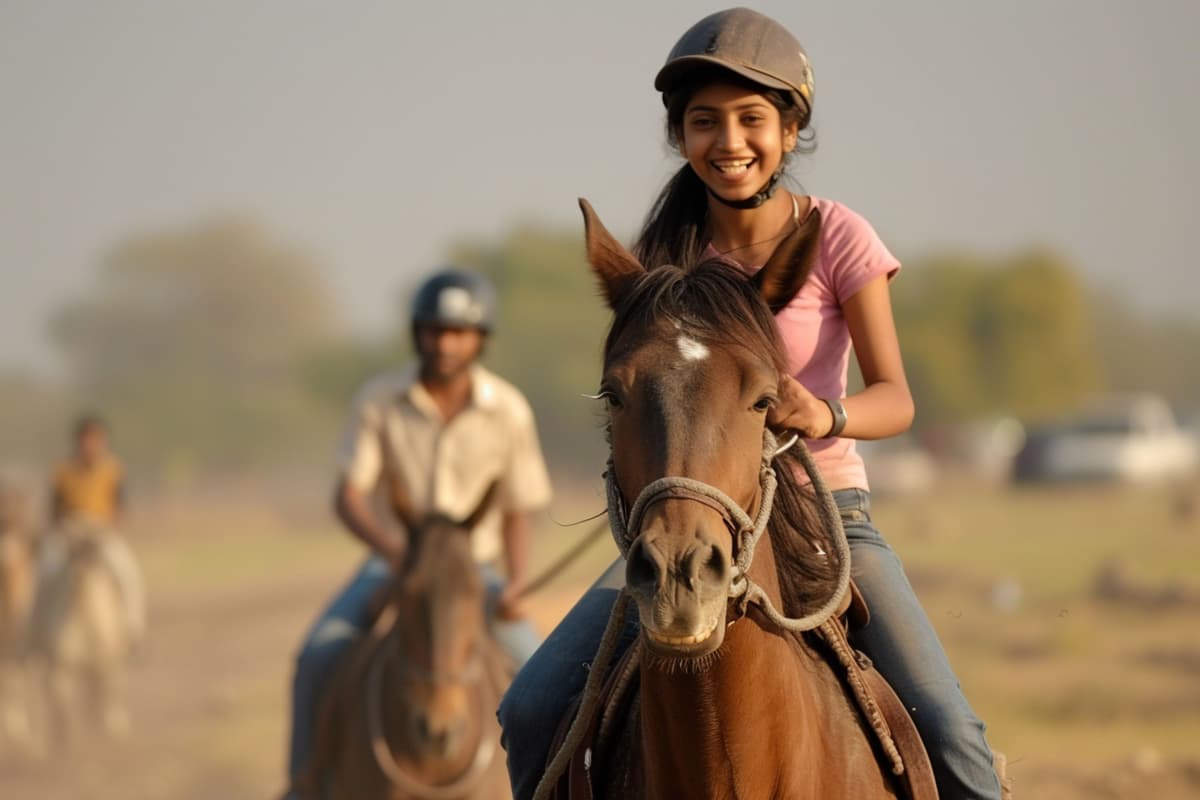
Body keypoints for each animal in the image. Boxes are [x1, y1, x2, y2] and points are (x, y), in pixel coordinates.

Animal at [30, 519, 133, 747]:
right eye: (69, 554)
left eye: (90, 555)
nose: (76, 578)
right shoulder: (62, 669)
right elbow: (64, 713)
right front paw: (64, 746)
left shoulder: (103, 668)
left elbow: (98, 708)